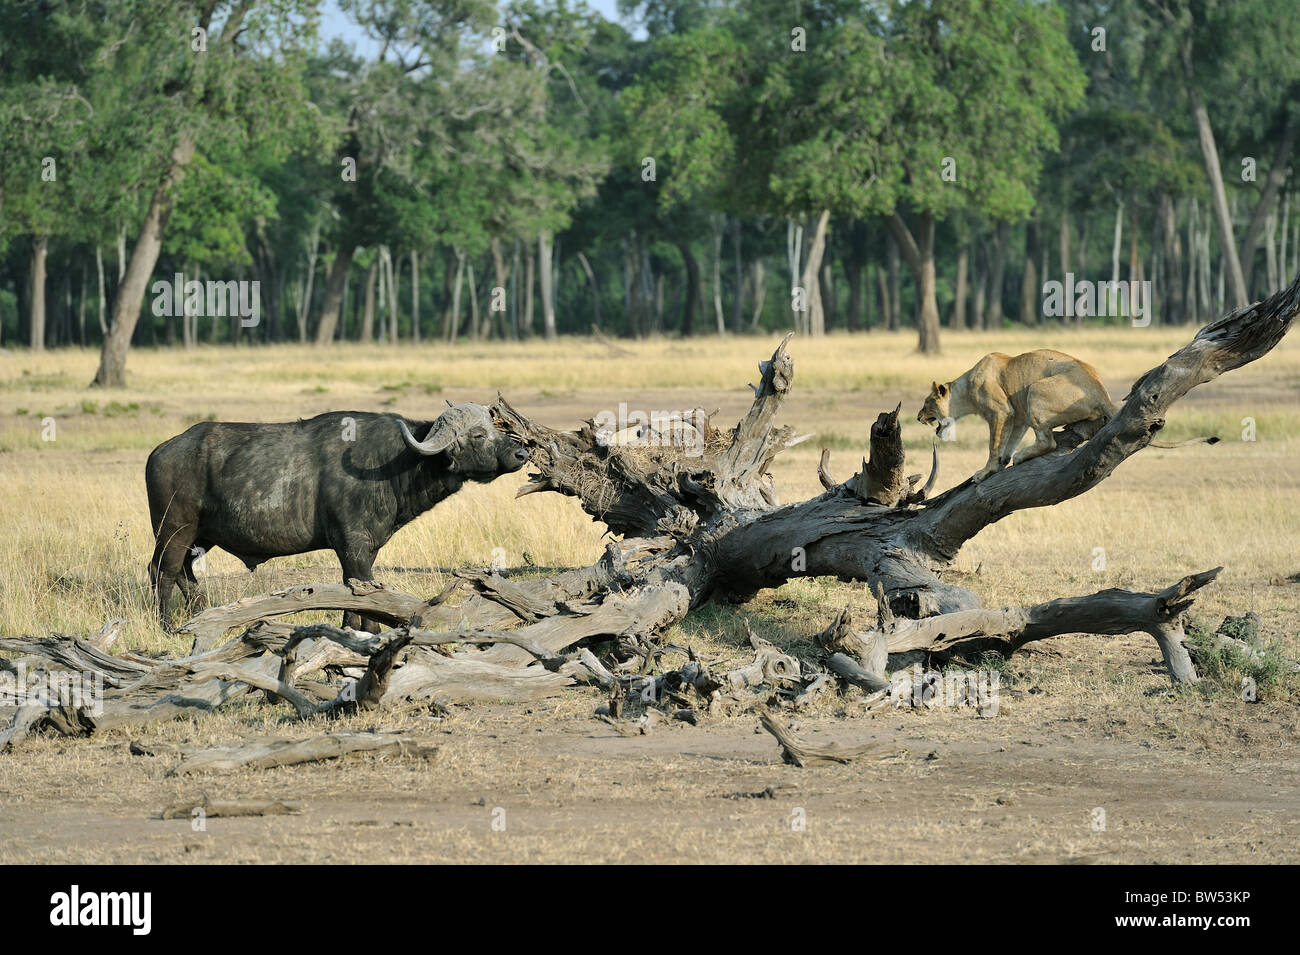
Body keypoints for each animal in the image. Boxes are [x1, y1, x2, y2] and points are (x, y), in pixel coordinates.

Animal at [916, 349, 1217, 482]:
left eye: (928, 402)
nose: (918, 417)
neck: (963, 391)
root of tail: (1101, 390)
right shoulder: (1017, 416)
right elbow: (1007, 442)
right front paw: (1000, 463)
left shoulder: (1001, 410)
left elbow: (994, 445)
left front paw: (986, 471)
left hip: (1035, 390)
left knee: (1048, 441)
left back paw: (1022, 456)